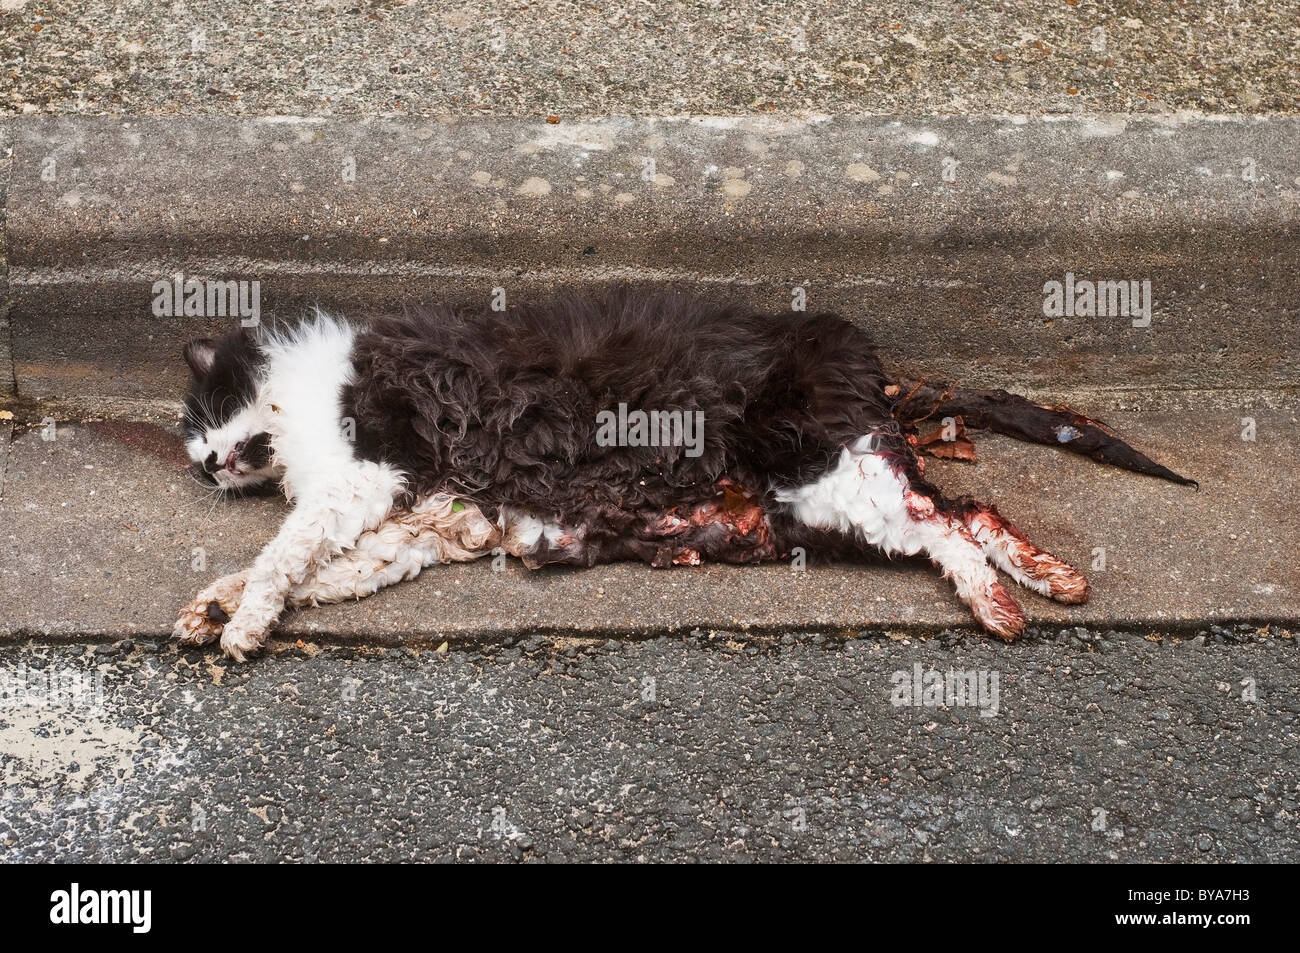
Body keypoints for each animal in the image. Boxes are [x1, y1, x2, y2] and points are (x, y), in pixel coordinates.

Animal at [178, 289, 1190, 660]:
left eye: (196, 417)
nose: (203, 466)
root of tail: (879, 376)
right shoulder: (423, 525)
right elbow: (319, 573)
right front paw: (214, 605)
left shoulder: (362, 480)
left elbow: (285, 558)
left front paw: (242, 621)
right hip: (830, 504)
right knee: (967, 508)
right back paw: (1050, 578)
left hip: (826, 472)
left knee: (946, 522)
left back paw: (1000, 604)